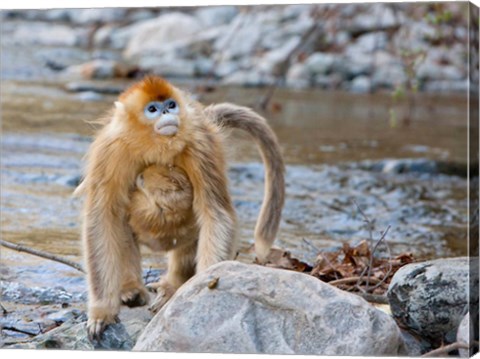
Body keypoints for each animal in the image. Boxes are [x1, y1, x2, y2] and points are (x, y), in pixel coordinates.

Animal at [76, 76, 284, 340]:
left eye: (171, 105)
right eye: (153, 109)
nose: (167, 113)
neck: (154, 146)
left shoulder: (199, 146)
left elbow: (216, 214)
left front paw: (202, 287)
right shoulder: (111, 151)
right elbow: (102, 218)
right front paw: (102, 311)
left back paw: (172, 286)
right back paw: (131, 289)